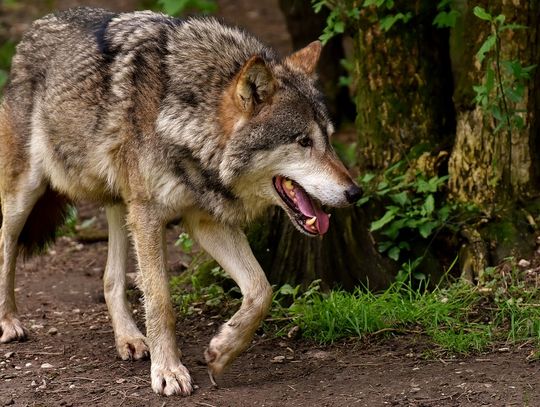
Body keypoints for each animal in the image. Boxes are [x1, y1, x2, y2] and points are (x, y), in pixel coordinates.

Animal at [0, 5, 362, 396]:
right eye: (303, 142)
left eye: (329, 138)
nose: (355, 192)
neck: (186, 119)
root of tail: (35, 28)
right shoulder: (150, 216)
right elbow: (161, 301)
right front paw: (169, 371)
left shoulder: (205, 220)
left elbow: (261, 290)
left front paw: (222, 351)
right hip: (27, 194)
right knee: (6, 244)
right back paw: (8, 322)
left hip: (121, 205)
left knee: (111, 279)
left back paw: (130, 339)